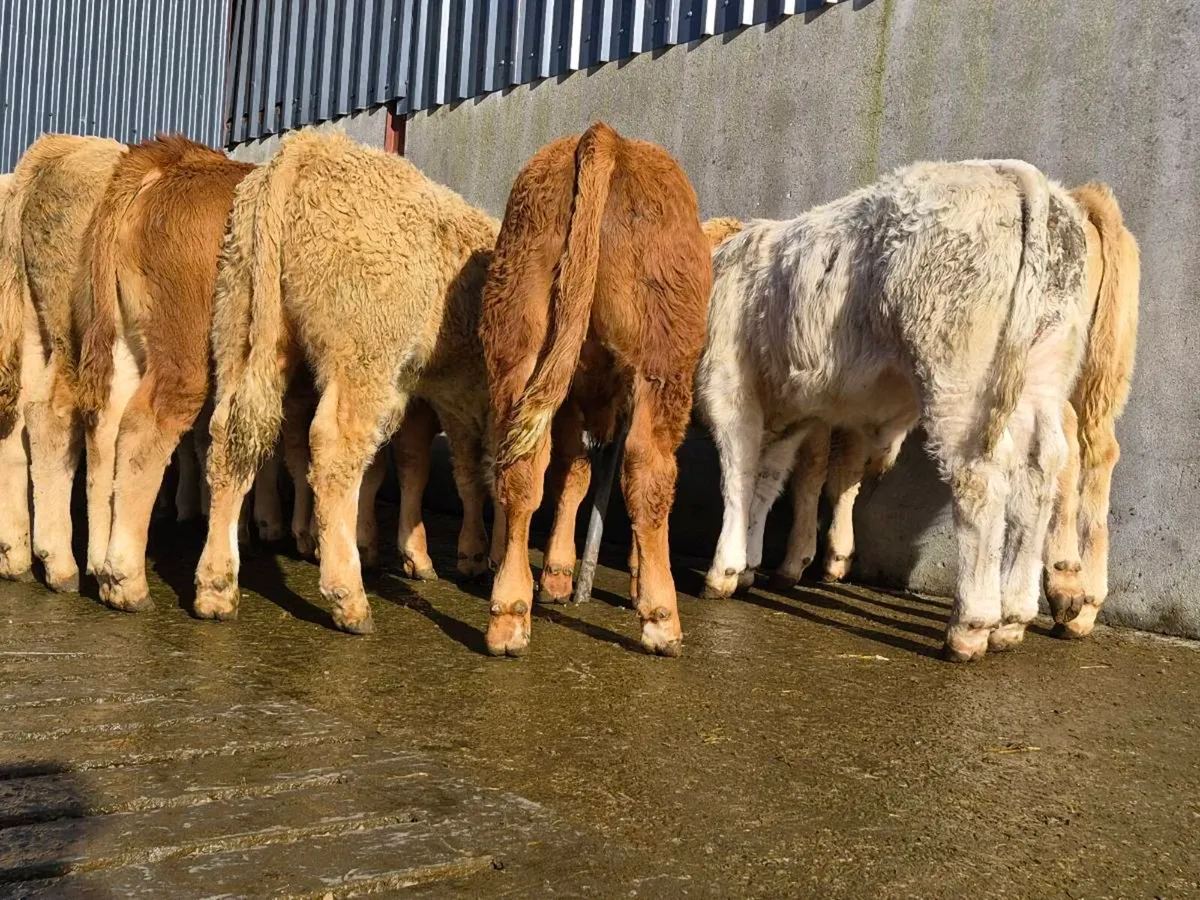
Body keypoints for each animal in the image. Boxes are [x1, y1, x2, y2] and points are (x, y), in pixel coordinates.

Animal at [0, 135, 127, 591]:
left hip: (30, 324)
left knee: (17, 419)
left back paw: (16, 557)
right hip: (74, 326)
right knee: (50, 416)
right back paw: (62, 564)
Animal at [69, 136, 254, 611]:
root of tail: (174, 160)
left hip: (123, 338)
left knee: (105, 423)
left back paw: (99, 564)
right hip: (184, 350)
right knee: (144, 427)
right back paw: (127, 581)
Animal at [194, 129, 498, 633]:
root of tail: (312, 145)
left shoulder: (433, 399)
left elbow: (419, 469)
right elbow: (484, 475)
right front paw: (478, 556)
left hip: (240, 325)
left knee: (231, 437)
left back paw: (216, 586)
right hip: (362, 355)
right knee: (335, 450)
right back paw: (348, 597)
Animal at [480, 121, 712, 658]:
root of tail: (607, 138)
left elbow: (574, 473)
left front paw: (559, 574)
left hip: (519, 342)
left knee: (522, 466)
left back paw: (509, 611)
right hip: (662, 360)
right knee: (649, 469)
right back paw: (662, 618)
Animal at [697, 159, 1091, 662]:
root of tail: (1010, 174)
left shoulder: (729, 386)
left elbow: (738, 476)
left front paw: (724, 570)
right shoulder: (793, 415)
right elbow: (766, 481)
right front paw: (748, 563)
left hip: (961, 383)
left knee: (980, 480)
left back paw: (970, 626)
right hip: (1041, 376)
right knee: (1039, 475)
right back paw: (1013, 619)